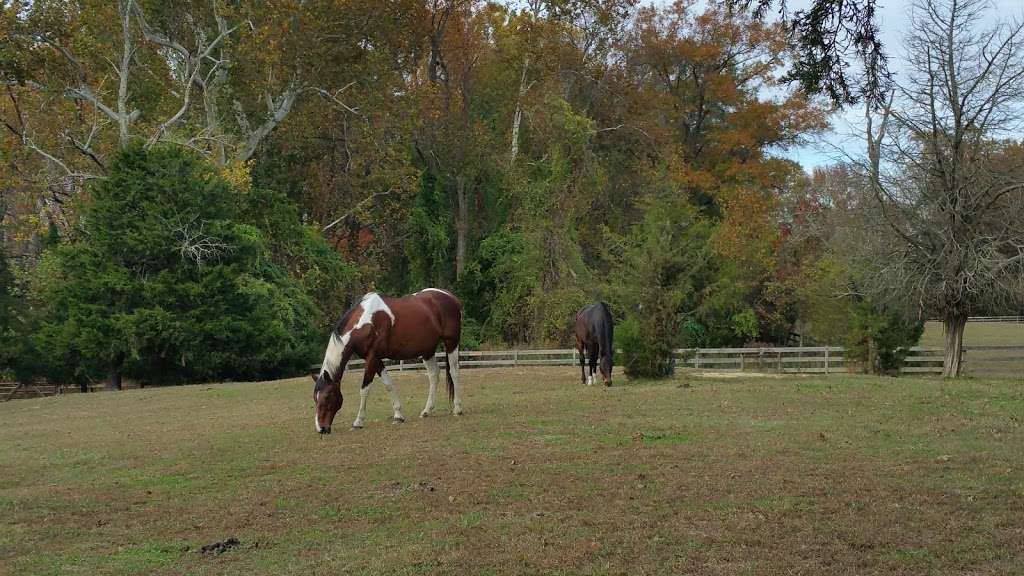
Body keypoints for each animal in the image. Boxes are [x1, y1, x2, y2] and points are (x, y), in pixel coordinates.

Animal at [307, 286, 460, 430]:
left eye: (327, 397)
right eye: (315, 398)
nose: (321, 428)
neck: (366, 321)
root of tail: (450, 296)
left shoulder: (372, 357)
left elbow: (364, 388)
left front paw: (358, 421)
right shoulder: (376, 359)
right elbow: (388, 384)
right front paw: (398, 416)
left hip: (451, 343)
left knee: (454, 372)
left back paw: (457, 409)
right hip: (427, 350)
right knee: (434, 375)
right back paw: (427, 411)